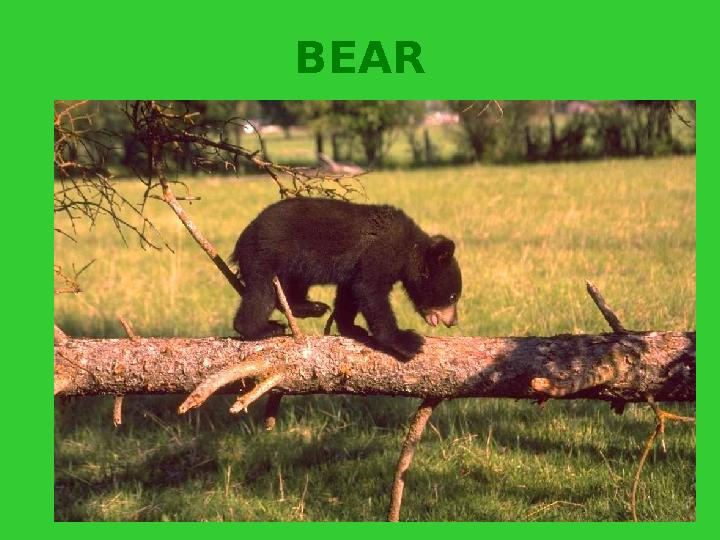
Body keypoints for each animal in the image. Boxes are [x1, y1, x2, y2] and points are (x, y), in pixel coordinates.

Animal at [229, 198, 462, 360]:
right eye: (453, 296)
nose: (453, 322)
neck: (409, 248)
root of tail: (242, 238)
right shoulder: (380, 252)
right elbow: (370, 291)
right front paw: (405, 341)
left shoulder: (356, 267)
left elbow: (349, 294)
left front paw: (352, 328)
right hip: (265, 256)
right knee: (262, 293)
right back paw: (263, 328)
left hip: (291, 267)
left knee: (287, 290)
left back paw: (313, 307)